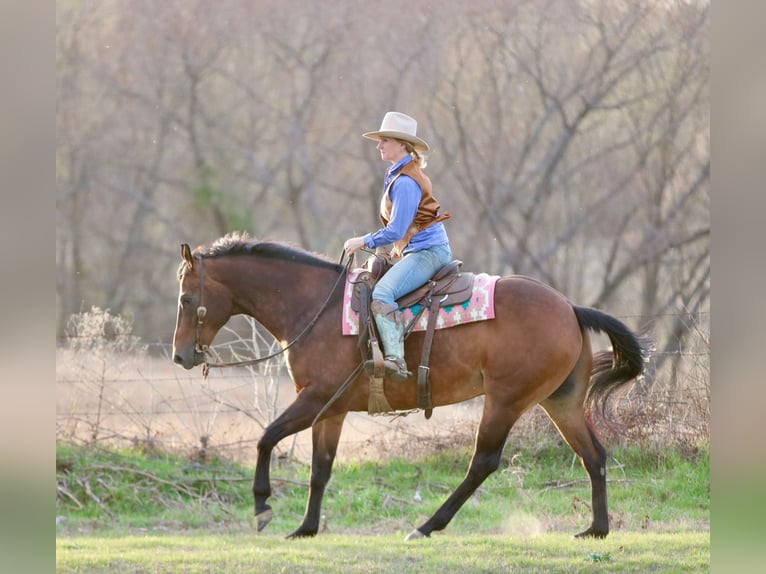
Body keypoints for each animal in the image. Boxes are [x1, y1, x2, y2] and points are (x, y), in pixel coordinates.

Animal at [172, 231, 647, 541]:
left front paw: (262, 508)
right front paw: (306, 528)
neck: (314, 308)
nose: (180, 356)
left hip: (505, 401)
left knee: (483, 463)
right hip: (559, 401)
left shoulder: (314, 399)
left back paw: (426, 526)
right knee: (593, 455)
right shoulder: (332, 410)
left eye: (185, 298)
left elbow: (266, 438)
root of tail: (569, 306)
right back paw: (596, 529)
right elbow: (320, 470)